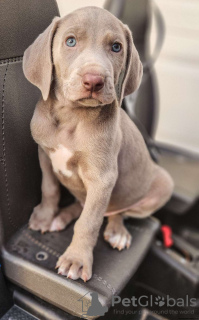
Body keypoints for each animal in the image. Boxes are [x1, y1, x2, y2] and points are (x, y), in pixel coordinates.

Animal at [22, 6, 173, 282]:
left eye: (116, 47)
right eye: (70, 41)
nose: (94, 80)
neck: (72, 118)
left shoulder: (102, 178)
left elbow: (89, 222)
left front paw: (76, 260)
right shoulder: (44, 154)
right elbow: (49, 188)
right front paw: (45, 217)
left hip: (161, 185)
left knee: (116, 212)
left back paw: (117, 232)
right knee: (82, 205)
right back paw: (61, 217)